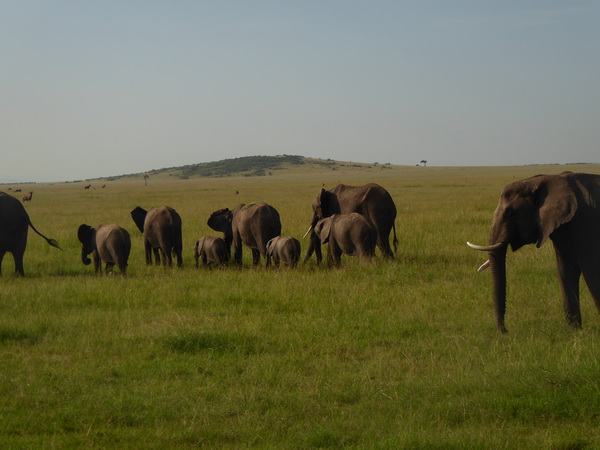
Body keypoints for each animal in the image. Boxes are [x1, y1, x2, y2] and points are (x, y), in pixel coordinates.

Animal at [468, 172, 600, 334]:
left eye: (511, 213)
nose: (505, 331)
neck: (546, 180)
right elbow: (565, 271)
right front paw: (575, 333)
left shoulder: (586, 223)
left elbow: (592, 272)